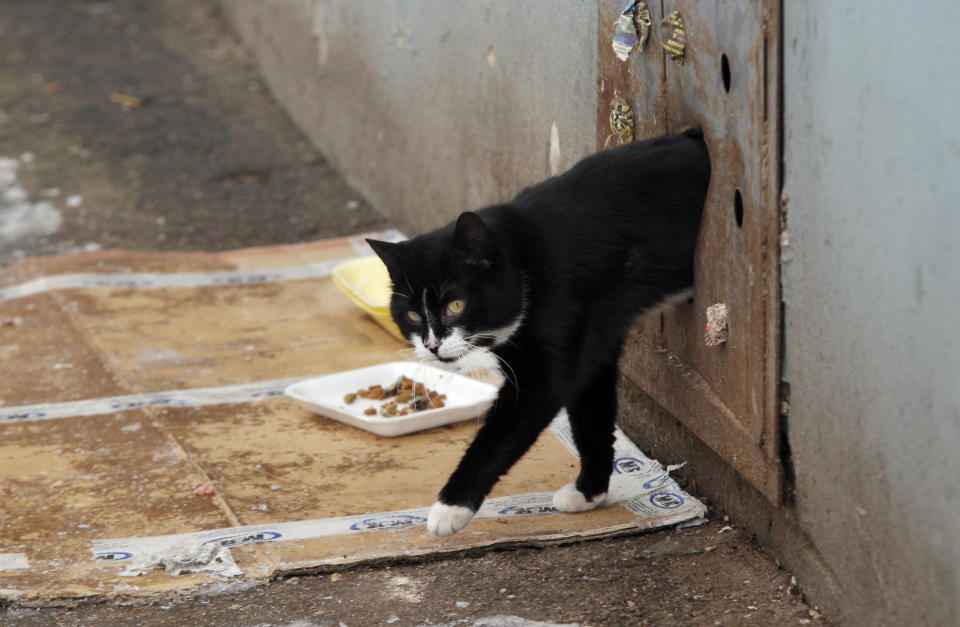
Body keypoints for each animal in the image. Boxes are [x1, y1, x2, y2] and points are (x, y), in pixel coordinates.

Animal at [364, 130, 708, 536]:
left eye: (456, 305)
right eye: (414, 315)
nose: (433, 346)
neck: (526, 263)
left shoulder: (552, 346)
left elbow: (504, 431)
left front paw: (449, 508)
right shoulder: (593, 340)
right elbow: (591, 411)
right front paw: (589, 491)